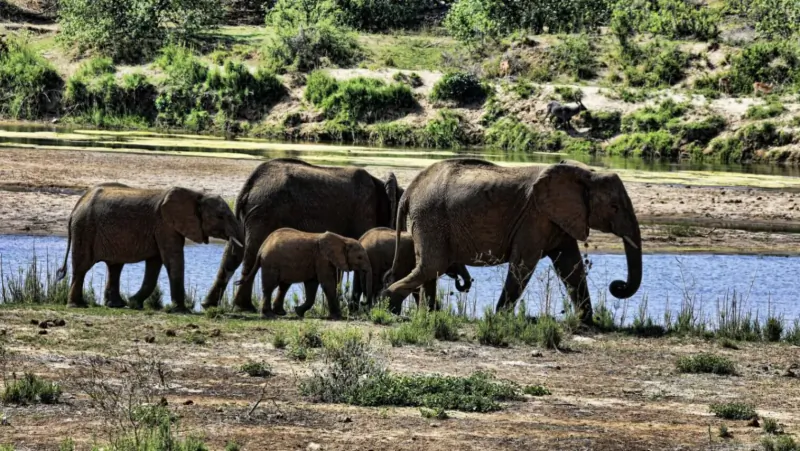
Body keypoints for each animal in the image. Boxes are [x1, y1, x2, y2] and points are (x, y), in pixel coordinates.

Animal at [56, 183, 243, 311]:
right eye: (221, 216)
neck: (196, 194)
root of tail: (77, 205)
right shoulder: (165, 225)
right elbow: (172, 260)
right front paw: (181, 310)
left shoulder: (163, 228)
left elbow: (155, 264)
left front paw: (134, 302)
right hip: (84, 228)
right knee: (82, 267)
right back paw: (77, 306)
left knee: (114, 267)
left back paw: (116, 304)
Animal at [235, 228, 372, 319]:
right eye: (359, 257)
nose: (363, 303)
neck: (343, 239)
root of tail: (262, 247)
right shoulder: (322, 259)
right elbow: (327, 284)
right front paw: (338, 317)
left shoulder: (318, 261)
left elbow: (312, 286)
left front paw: (298, 312)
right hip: (270, 263)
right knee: (269, 287)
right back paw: (269, 315)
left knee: (284, 286)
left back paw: (280, 313)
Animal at [383, 159, 642, 323]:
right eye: (614, 207)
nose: (617, 286)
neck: (584, 173)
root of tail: (409, 191)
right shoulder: (535, 216)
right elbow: (524, 263)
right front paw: (500, 317)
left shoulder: (558, 217)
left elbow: (571, 265)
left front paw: (587, 321)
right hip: (430, 216)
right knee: (432, 265)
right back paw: (389, 305)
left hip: (428, 218)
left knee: (429, 268)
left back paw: (426, 313)